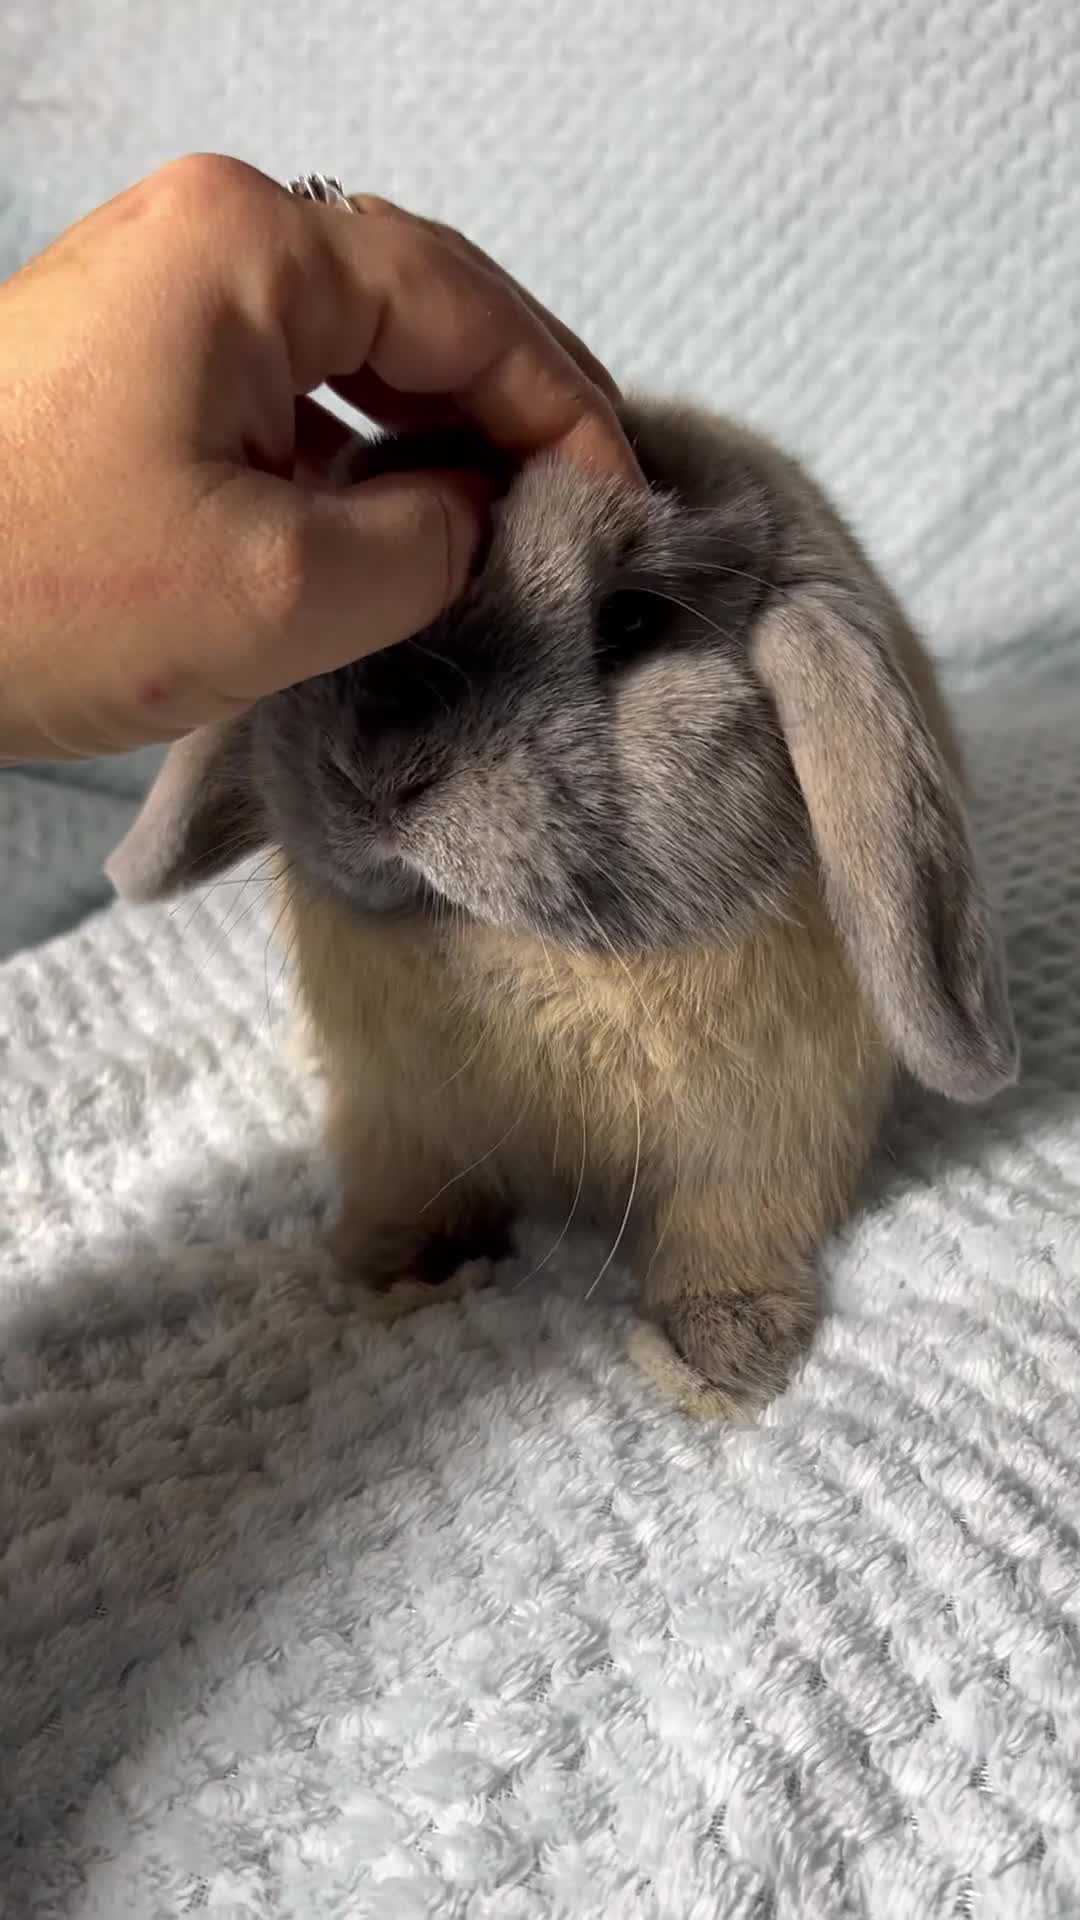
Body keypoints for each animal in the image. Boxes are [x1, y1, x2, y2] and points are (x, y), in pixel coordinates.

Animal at [106, 395, 1017, 1419]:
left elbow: (728, 1239)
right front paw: (391, 1276)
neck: (510, 952)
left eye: (631, 621)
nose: (379, 771)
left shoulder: (766, 1143)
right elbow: (408, 1201)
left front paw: (713, 1361)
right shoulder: (402, 1125)